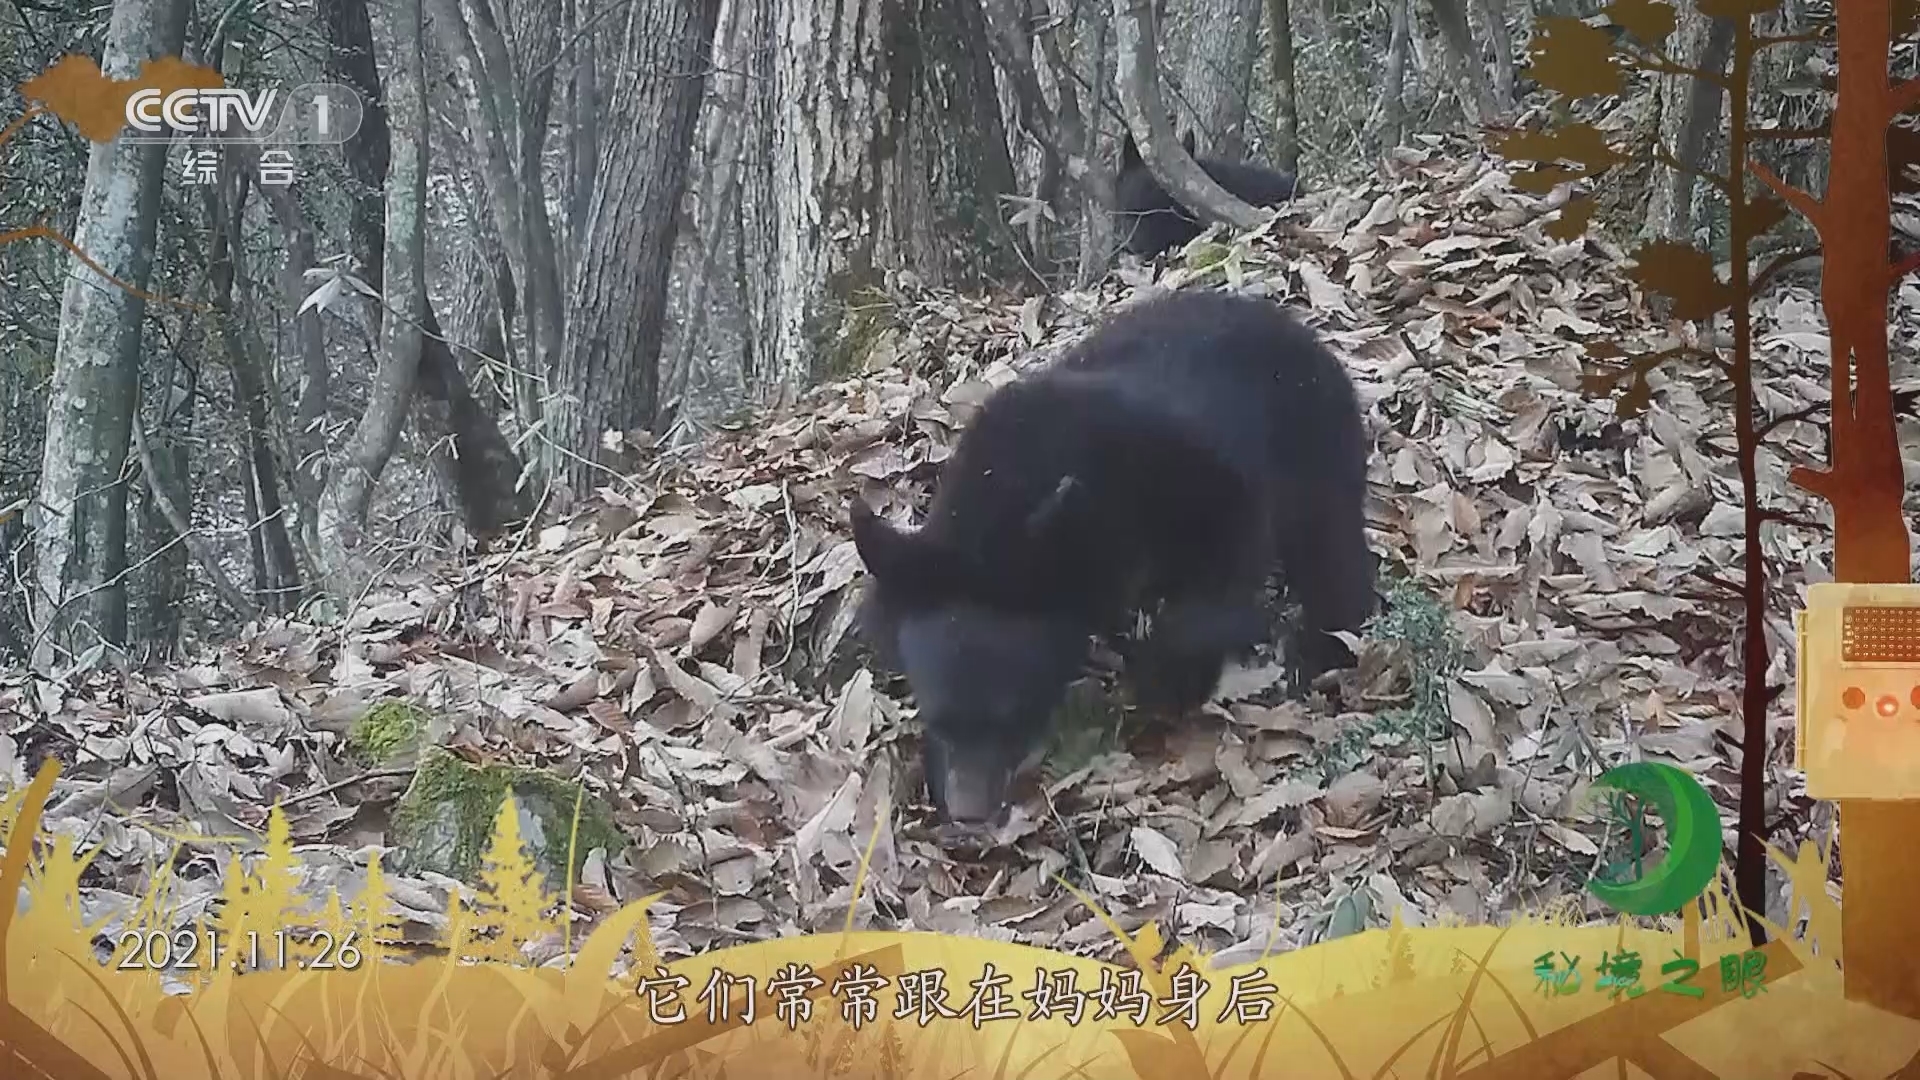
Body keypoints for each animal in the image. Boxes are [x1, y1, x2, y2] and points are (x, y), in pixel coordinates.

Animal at [851, 289, 1374, 828]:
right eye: (938, 715)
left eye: (1011, 713)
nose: (968, 812)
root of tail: (1305, 334)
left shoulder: (1184, 477)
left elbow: (1221, 568)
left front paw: (1168, 680)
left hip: (1313, 448)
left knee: (1329, 550)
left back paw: (1322, 648)